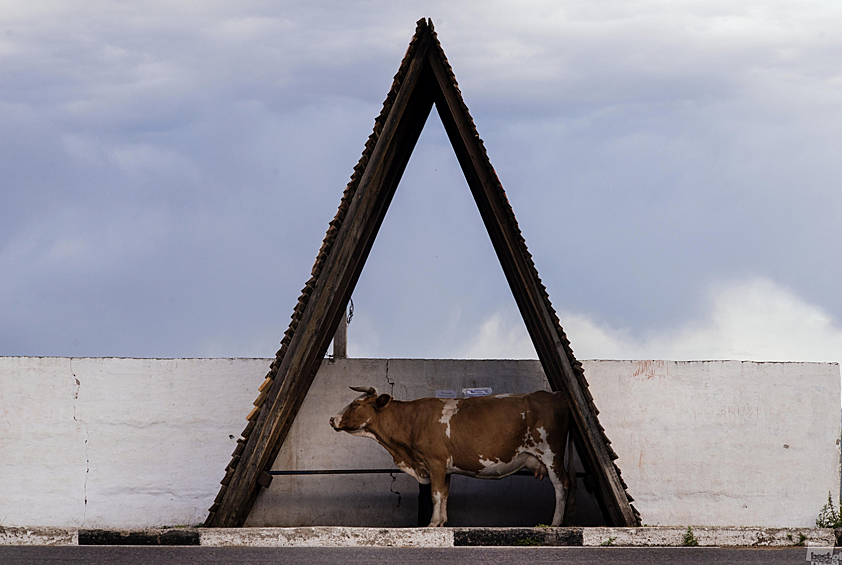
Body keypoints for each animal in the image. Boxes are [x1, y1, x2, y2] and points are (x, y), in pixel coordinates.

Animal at [328, 386, 572, 528]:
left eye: (355, 404)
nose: (331, 419)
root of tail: (554, 394)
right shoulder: (445, 468)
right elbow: (444, 495)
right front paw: (442, 522)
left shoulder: (434, 462)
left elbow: (435, 495)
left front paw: (432, 524)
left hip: (551, 455)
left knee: (561, 486)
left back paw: (555, 523)